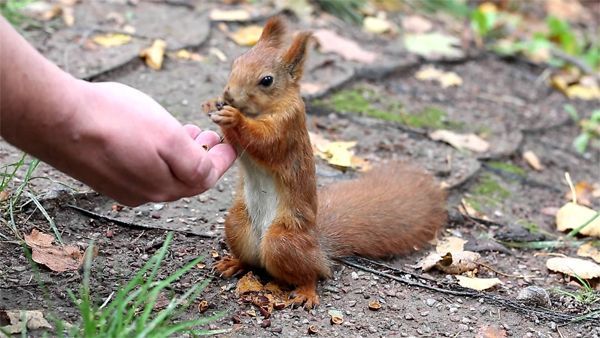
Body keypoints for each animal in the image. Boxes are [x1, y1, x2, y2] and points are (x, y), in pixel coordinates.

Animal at [202, 17, 446, 310]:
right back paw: (233, 263)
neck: (261, 110)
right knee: (252, 261)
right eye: (236, 62)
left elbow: (265, 142)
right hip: (237, 225)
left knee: (312, 273)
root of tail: (318, 247)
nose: (228, 95)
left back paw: (306, 291)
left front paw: (234, 118)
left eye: (267, 80)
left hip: (283, 241)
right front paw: (212, 104)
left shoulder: (288, 127)